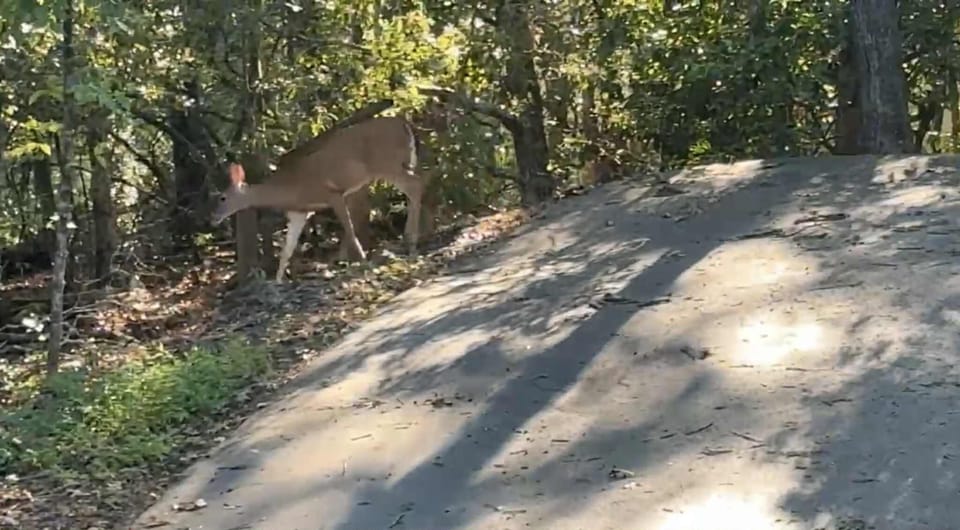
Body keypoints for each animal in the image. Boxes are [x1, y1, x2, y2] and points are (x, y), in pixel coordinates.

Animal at [210, 116, 425, 282]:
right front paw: (278, 280)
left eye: (222, 198)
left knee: (416, 185)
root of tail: (404, 124)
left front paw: (363, 261)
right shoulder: (299, 213)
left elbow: (350, 230)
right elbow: (287, 249)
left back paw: (411, 243)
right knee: (416, 184)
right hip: (397, 165)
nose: (213, 218)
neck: (292, 188)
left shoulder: (333, 194)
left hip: (388, 164)